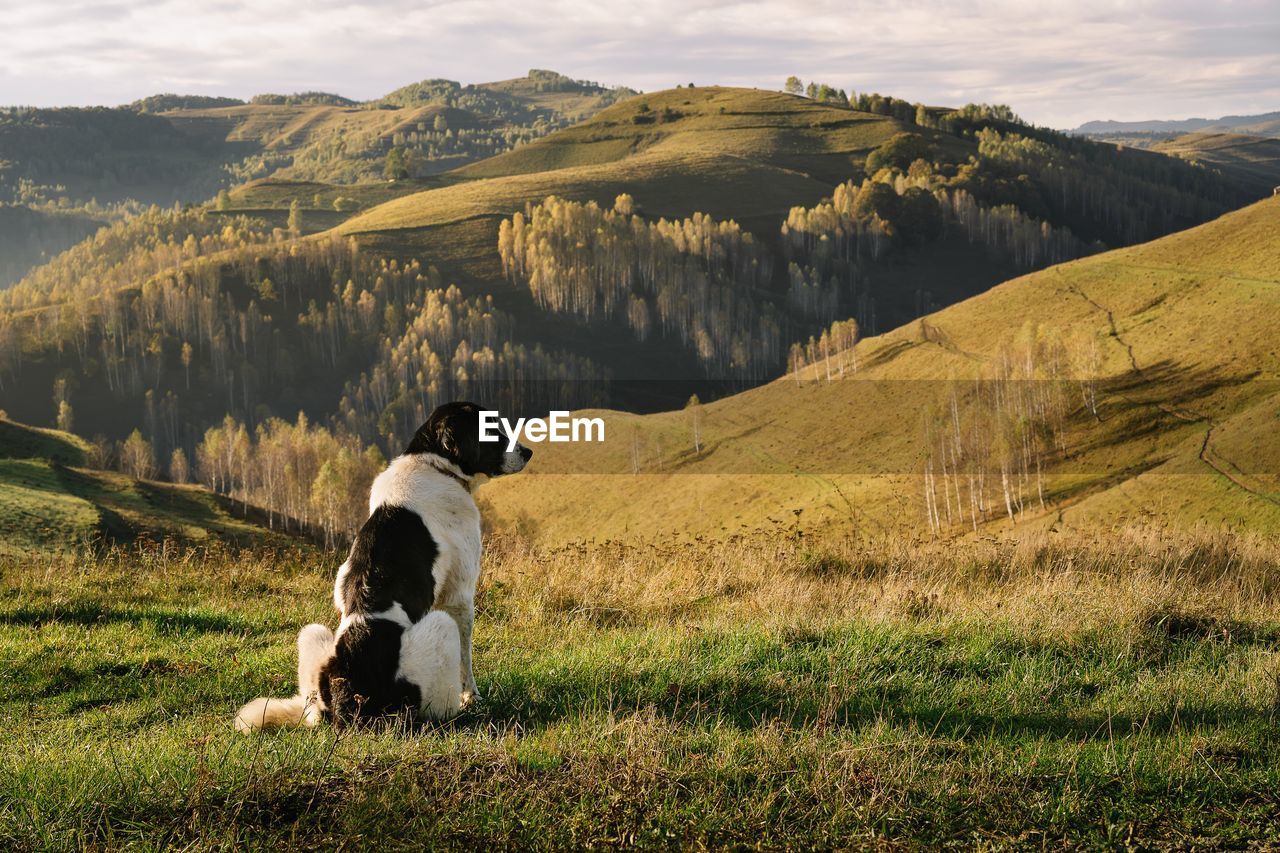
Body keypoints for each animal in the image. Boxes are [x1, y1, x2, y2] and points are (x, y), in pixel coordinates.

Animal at [235, 402, 529, 727]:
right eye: (491, 429)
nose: (528, 452)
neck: (433, 464)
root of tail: (350, 695)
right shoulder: (459, 596)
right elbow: (467, 659)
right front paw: (473, 697)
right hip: (442, 629)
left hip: (313, 636)